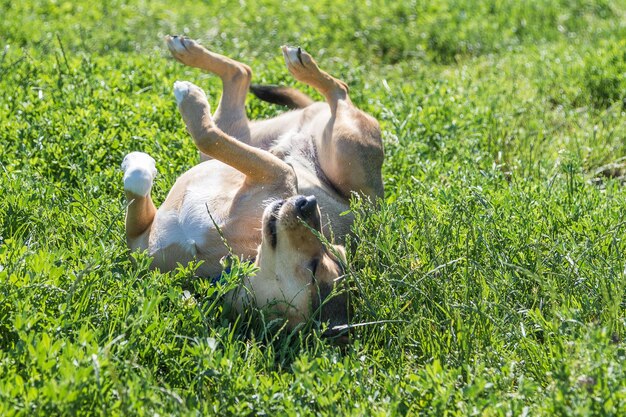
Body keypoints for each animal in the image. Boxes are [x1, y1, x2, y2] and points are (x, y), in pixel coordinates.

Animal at [120, 36, 382, 334]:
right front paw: (139, 163)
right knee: (249, 75)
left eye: (316, 268)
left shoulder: (280, 172)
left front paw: (188, 102)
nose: (308, 203)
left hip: (348, 149)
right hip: (317, 145)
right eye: (330, 251)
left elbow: (206, 137)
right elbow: (139, 183)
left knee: (332, 92)